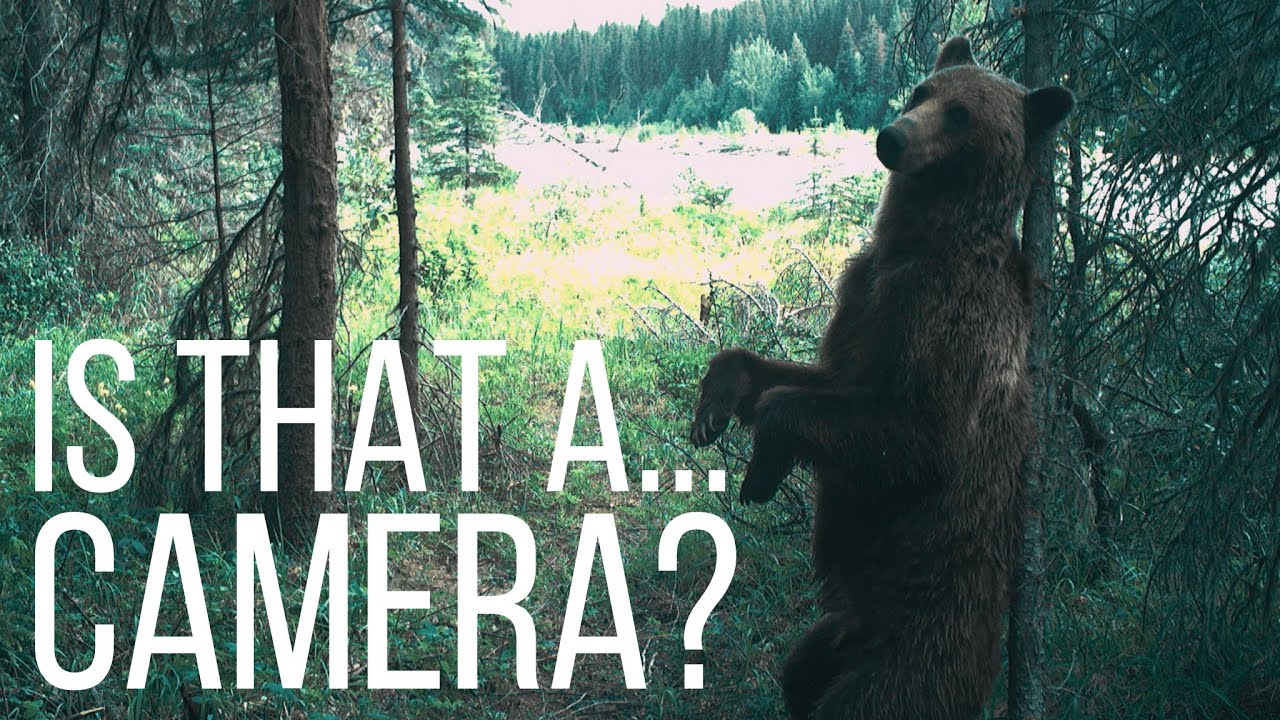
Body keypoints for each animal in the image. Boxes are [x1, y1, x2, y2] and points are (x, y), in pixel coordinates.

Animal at [689, 36, 1073, 720]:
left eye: (962, 115)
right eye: (923, 90)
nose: (892, 135)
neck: (918, 243)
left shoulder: (949, 321)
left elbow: (918, 434)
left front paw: (761, 470)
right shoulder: (863, 299)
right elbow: (824, 382)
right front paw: (717, 403)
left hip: (920, 646)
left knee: (875, 697)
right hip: (831, 638)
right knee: (800, 674)